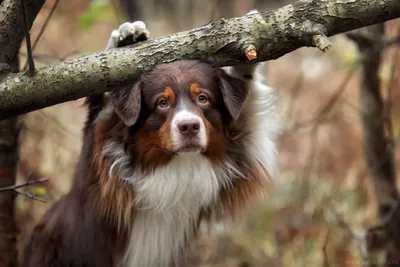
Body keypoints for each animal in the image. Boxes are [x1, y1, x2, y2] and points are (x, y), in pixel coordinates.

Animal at [21, 18, 278, 267]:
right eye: (162, 103)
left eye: (203, 98)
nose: (189, 127)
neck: (176, 162)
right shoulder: (98, 164)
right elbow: (102, 104)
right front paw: (124, 39)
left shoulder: (241, 151)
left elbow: (248, 111)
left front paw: (249, 46)